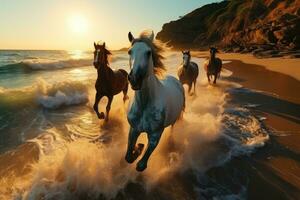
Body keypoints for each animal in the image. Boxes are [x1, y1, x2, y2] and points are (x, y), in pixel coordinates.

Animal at [124, 30, 185, 171]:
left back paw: (171, 141)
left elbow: (141, 165)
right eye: (130, 51)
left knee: (172, 127)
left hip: (174, 119)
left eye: (148, 52)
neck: (144, 105)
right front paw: (138, 148)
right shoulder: (134, 129)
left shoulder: (155, 136)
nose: (134, 79)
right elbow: (128, 157)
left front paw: (139, 149)